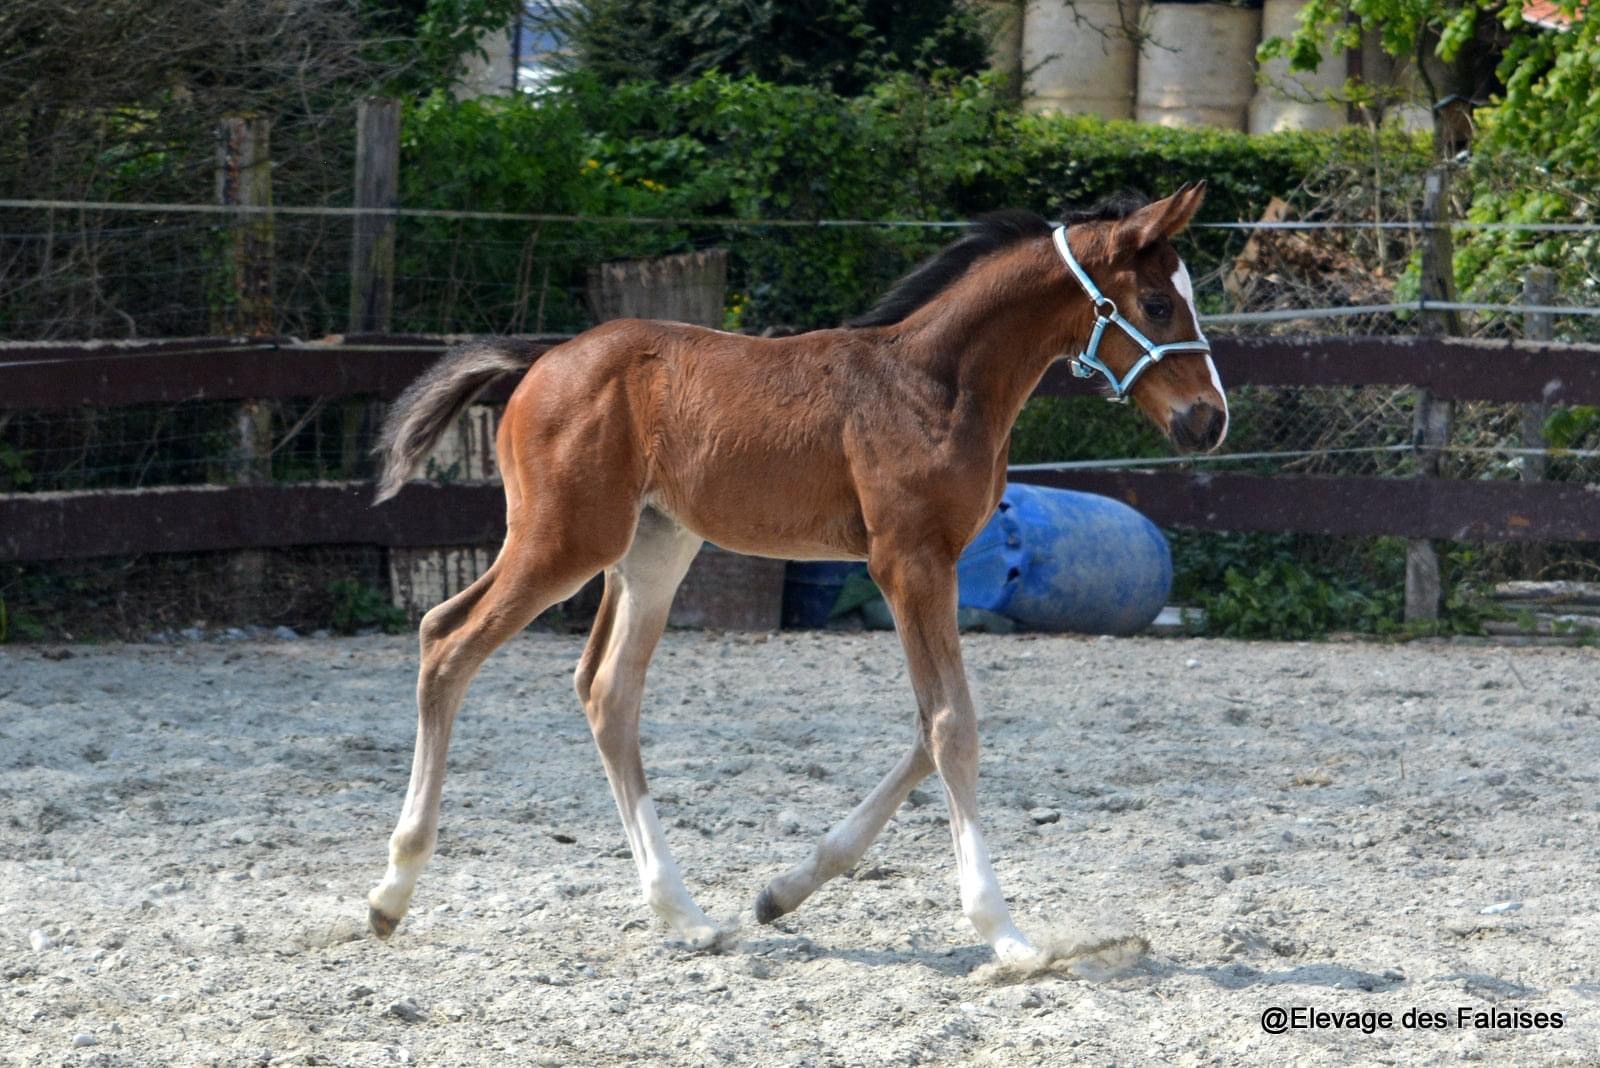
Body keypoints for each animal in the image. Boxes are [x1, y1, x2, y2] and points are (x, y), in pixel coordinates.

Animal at [371, 179, 1222, 965]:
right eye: (1155, 303)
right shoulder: (909, 561)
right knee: (446, 639)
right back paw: (390, 893)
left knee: (607, 691)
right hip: (565, 540)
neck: (936, 382)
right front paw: (1006, 934)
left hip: (655, 550)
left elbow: (927, 724)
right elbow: (951, 725)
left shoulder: (930, 568)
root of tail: (542, 358)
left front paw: (783, 891)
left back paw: (683, 914)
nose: (1210, 422)